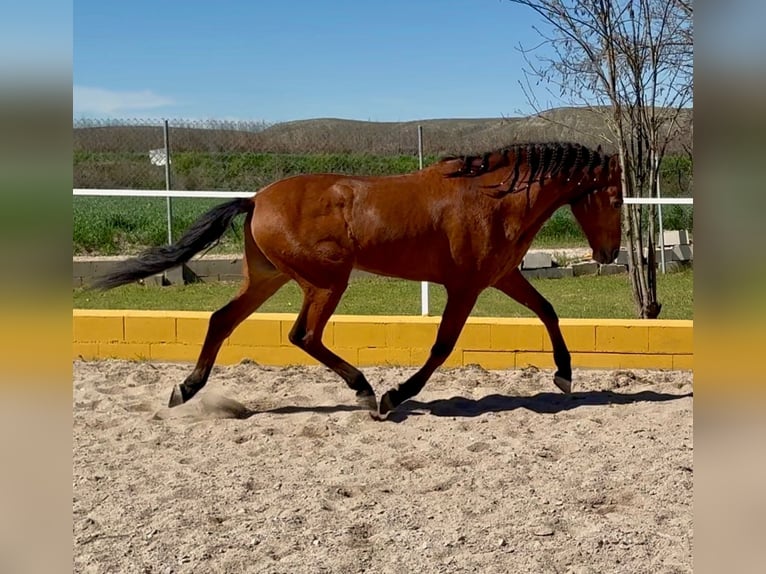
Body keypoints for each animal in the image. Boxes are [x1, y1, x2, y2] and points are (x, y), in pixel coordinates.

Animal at [94, 142, 623, 420]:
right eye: (616, 198)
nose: (609, 253)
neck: (491, 199)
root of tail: (256, 199)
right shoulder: (466, 287)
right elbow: (442, 346)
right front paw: (395, 395)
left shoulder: (502, 276)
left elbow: (547, 311)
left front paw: (565, 375)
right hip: (326, 281)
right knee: (303, 335)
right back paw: (366, 391)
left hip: (270, 278)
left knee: (222, 320)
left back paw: (186, 389)